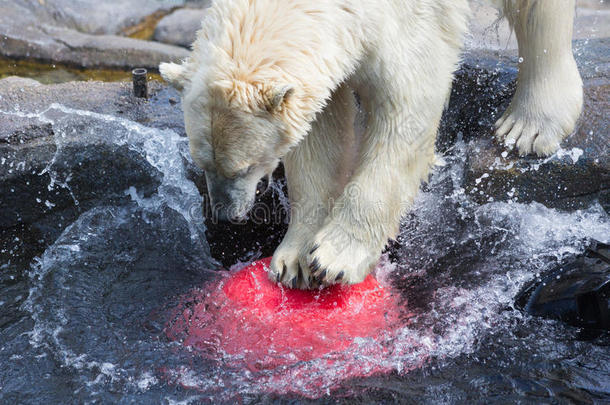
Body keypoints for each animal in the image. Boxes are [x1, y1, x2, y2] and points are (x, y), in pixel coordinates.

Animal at [159, 1, 580, 288]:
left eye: (244, 167)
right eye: (203, 162)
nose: (225, 215)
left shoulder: (410, 21)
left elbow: (407, 110)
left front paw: (336, 257)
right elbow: (319, 137)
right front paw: (294, 260)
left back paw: (529, 125)